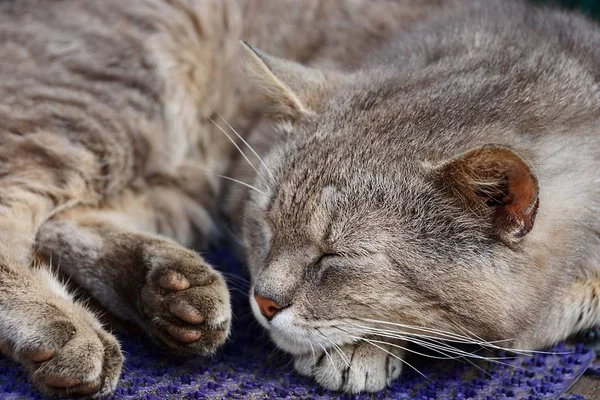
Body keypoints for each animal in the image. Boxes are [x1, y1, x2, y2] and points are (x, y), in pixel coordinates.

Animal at [0, 0, 440, 396]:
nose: (265, 302)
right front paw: (361, 344)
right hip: (118, 104)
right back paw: (61, 326)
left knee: (65, 221)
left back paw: (166, 287)